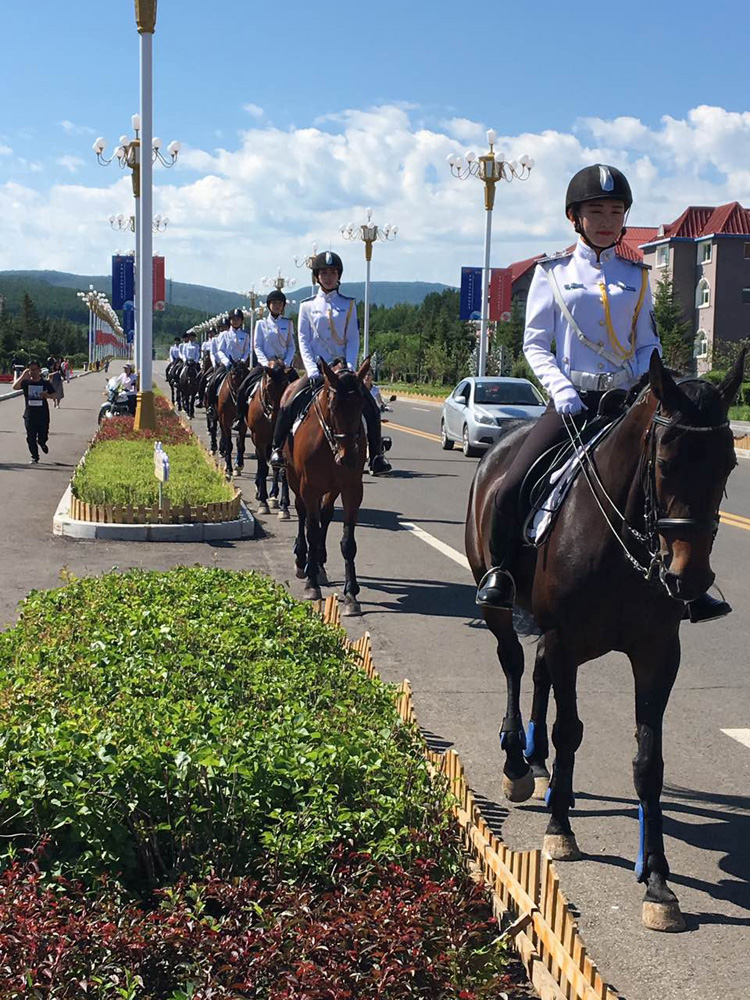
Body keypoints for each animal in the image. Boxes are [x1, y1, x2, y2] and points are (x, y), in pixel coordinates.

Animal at [247, 360, 294, 520]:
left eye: (286, 386)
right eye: (268, 387)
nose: (277, 418)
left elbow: (283, 470)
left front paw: (284, 506)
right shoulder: (259, 440)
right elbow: (262, 468)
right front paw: (263, 502)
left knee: (275, 466)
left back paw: (274, 496)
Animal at [284, 356, 372, 612]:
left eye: (361, 405)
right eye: (333, 406)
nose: (348, 457)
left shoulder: (352, 489)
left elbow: (347, 541)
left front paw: (351, 593)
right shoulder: (308, 487)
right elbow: (311, 531)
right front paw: (311, 584)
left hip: (332, 488)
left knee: (325, 515)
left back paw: (319, 563)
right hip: (294, 480)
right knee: (303, 514)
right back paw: (302, 560)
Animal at [468, 352, 744, 928]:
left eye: (728, 465)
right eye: (665, 462)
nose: (689, 577)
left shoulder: (658, 652)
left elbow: (648, 762)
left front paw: (658, 883)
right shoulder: (566, 637)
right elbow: (570, 728)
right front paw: (559, 832)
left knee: (539, 673)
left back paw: (542, 767)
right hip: (498, 604)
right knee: (513, 663)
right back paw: (518, 764)